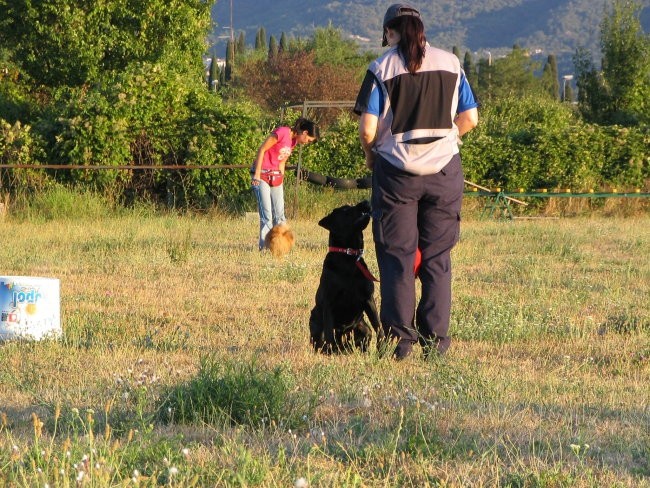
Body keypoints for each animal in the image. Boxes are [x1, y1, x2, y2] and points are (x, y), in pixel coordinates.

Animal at [308, 200, 382, 352]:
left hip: (363, 329)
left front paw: (384, 348)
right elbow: (329, 335)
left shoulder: (368, 299)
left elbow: (379, 327)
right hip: (316, 321)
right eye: (346, 210)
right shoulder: (329, 302)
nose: (365, 201)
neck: (348, 257)